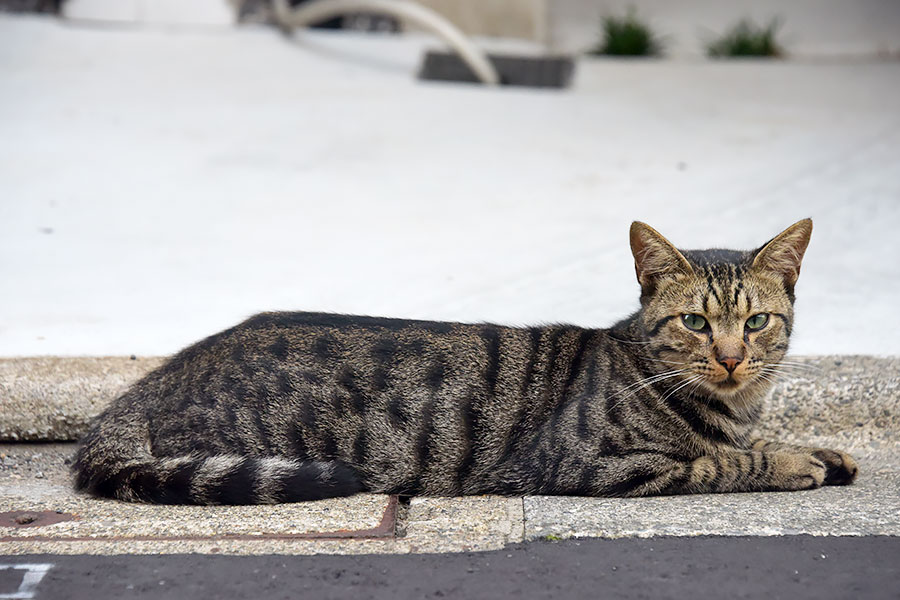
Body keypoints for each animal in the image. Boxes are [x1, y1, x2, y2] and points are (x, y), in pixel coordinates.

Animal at [72, 218, 856, 504]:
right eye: (696, 323)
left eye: (755, 322)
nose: (730, 358)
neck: (734, 406)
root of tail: (151, 381)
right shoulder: (586, 465)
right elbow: (720, 462)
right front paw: (792, 462)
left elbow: (744, 445)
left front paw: (821, 449)